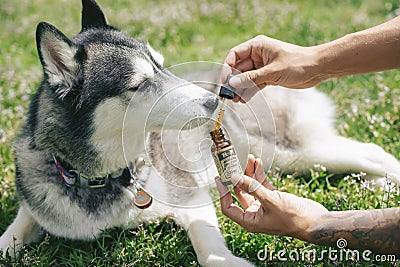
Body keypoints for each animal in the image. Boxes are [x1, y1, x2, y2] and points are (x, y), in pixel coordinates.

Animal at [0, 0, 400, 266]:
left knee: (371, 150)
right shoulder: (35, 205)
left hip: (291, 150)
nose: (215, 99)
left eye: (163, 66)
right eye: (140, 84)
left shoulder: (189, 194)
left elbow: (208, 248)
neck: (102, 178)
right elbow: (10, 237)